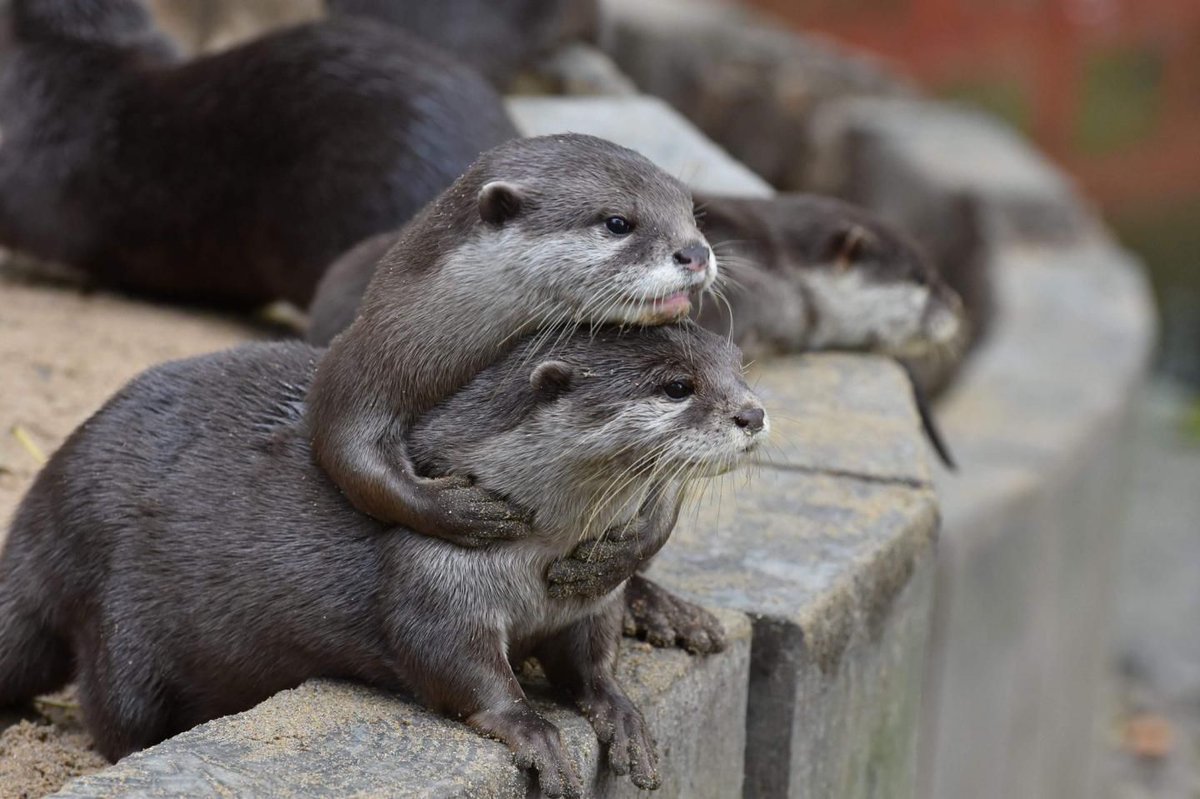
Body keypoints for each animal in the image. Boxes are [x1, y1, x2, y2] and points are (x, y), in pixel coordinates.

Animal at [0, 324, 766, 796]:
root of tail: (48, 507)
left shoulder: (589, 596)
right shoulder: (432, 575)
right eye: (676, 386)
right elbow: (453, 665)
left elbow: (592, 662)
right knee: (115, 711)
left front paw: (624, 716)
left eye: (738, 370)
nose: (754, 414)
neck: (533, 562)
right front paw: (534, 733)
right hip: (122, 622)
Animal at [307, 134, 717, 546]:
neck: (414, 337)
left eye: (691, 211)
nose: (696, 253)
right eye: (618, 223)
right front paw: (462, 509)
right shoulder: (362, 367)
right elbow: (350, 456)